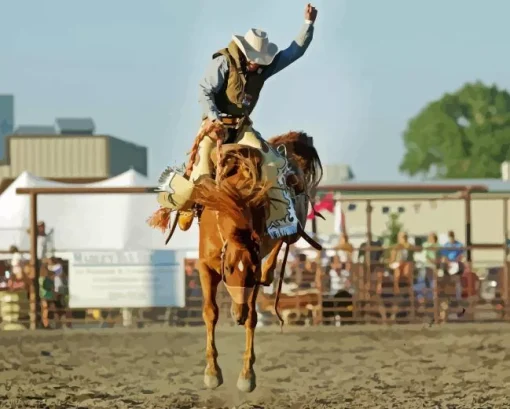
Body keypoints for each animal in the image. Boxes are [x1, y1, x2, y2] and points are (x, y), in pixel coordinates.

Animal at [191, 131, 322, 392]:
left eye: (250, 272)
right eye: (228, 268)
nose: (237, 315)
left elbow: (253, 318)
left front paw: (246, 376)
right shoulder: (205, 266)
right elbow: (210, 312)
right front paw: (212, 372)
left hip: (294, 227)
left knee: (284, 241)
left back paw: (269, 273)